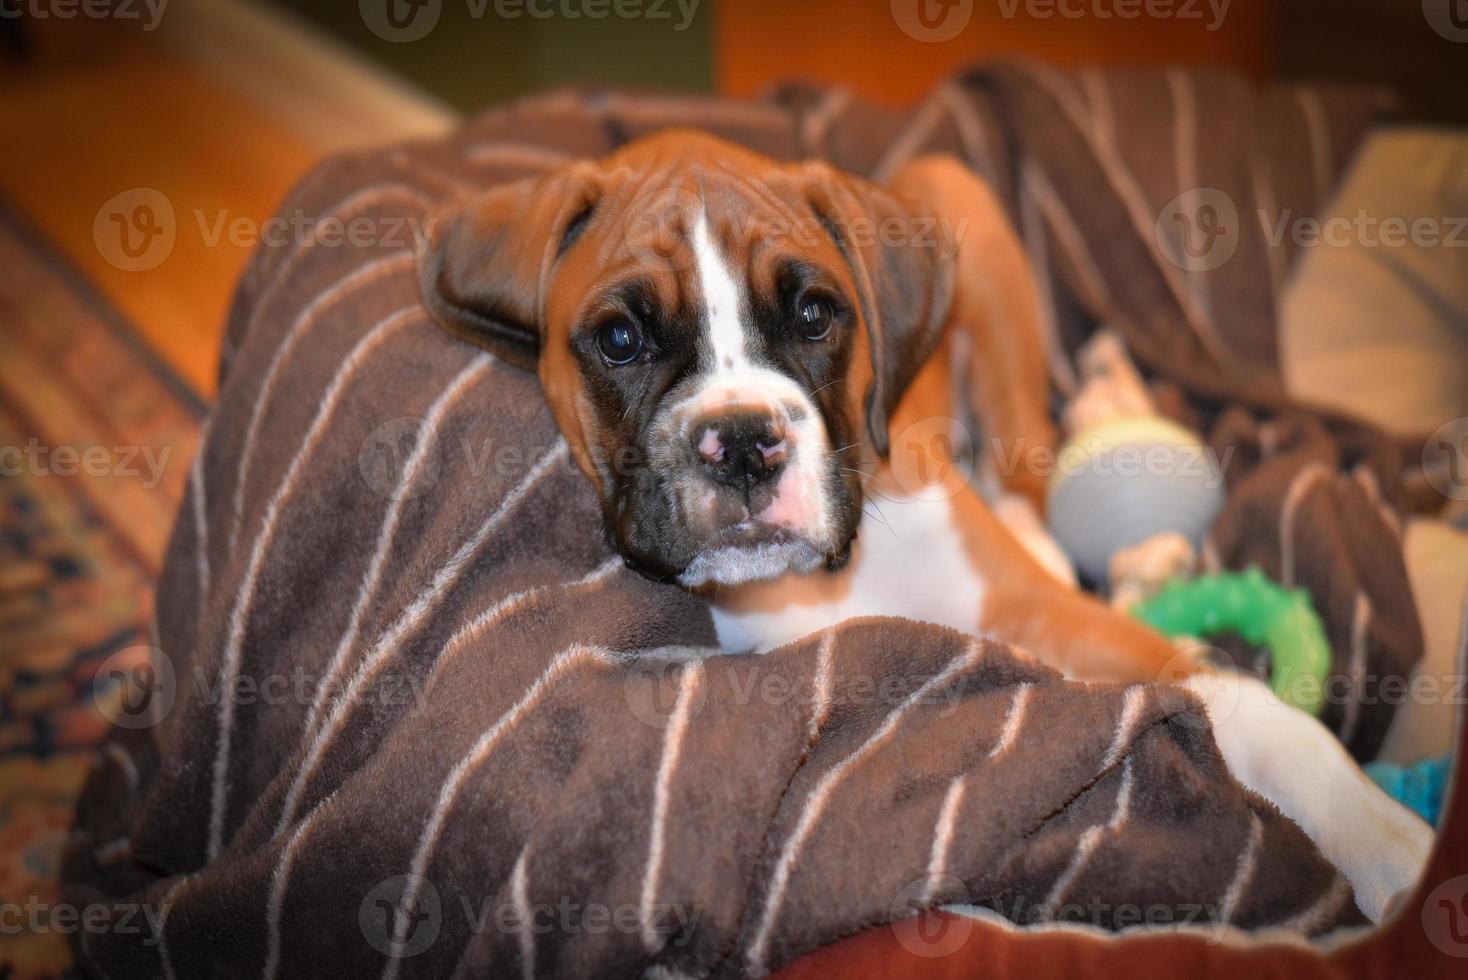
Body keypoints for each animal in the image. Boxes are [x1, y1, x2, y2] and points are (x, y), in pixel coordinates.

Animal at [419, 129, 1426, 921]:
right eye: (620, 339)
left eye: (816, 315)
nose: (743, 443)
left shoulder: (1046, 618)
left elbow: (1243, 699)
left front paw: (1385, 840)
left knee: (1030, 470)